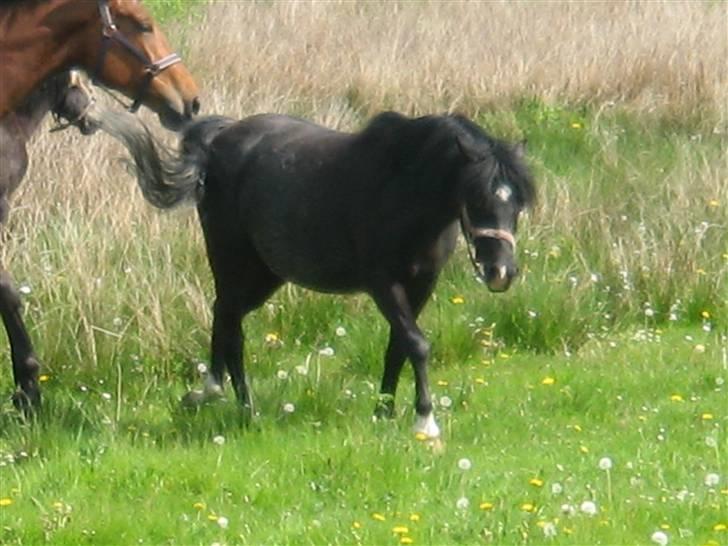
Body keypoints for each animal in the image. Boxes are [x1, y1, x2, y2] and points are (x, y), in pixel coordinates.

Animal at [101, 110, 536, 438]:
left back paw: (213, 393)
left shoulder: (421, 284)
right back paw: (242, 406)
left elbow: (397, 346)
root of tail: (219, 140)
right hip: (231, 260)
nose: (501, 271)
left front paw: (383, 411)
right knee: (230, 324)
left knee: (224, 316)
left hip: (265, 274)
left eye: (517, 203)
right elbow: (417, 344)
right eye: (475, 197)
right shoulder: (383, 283)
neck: (402, 188)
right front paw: (425, 422)